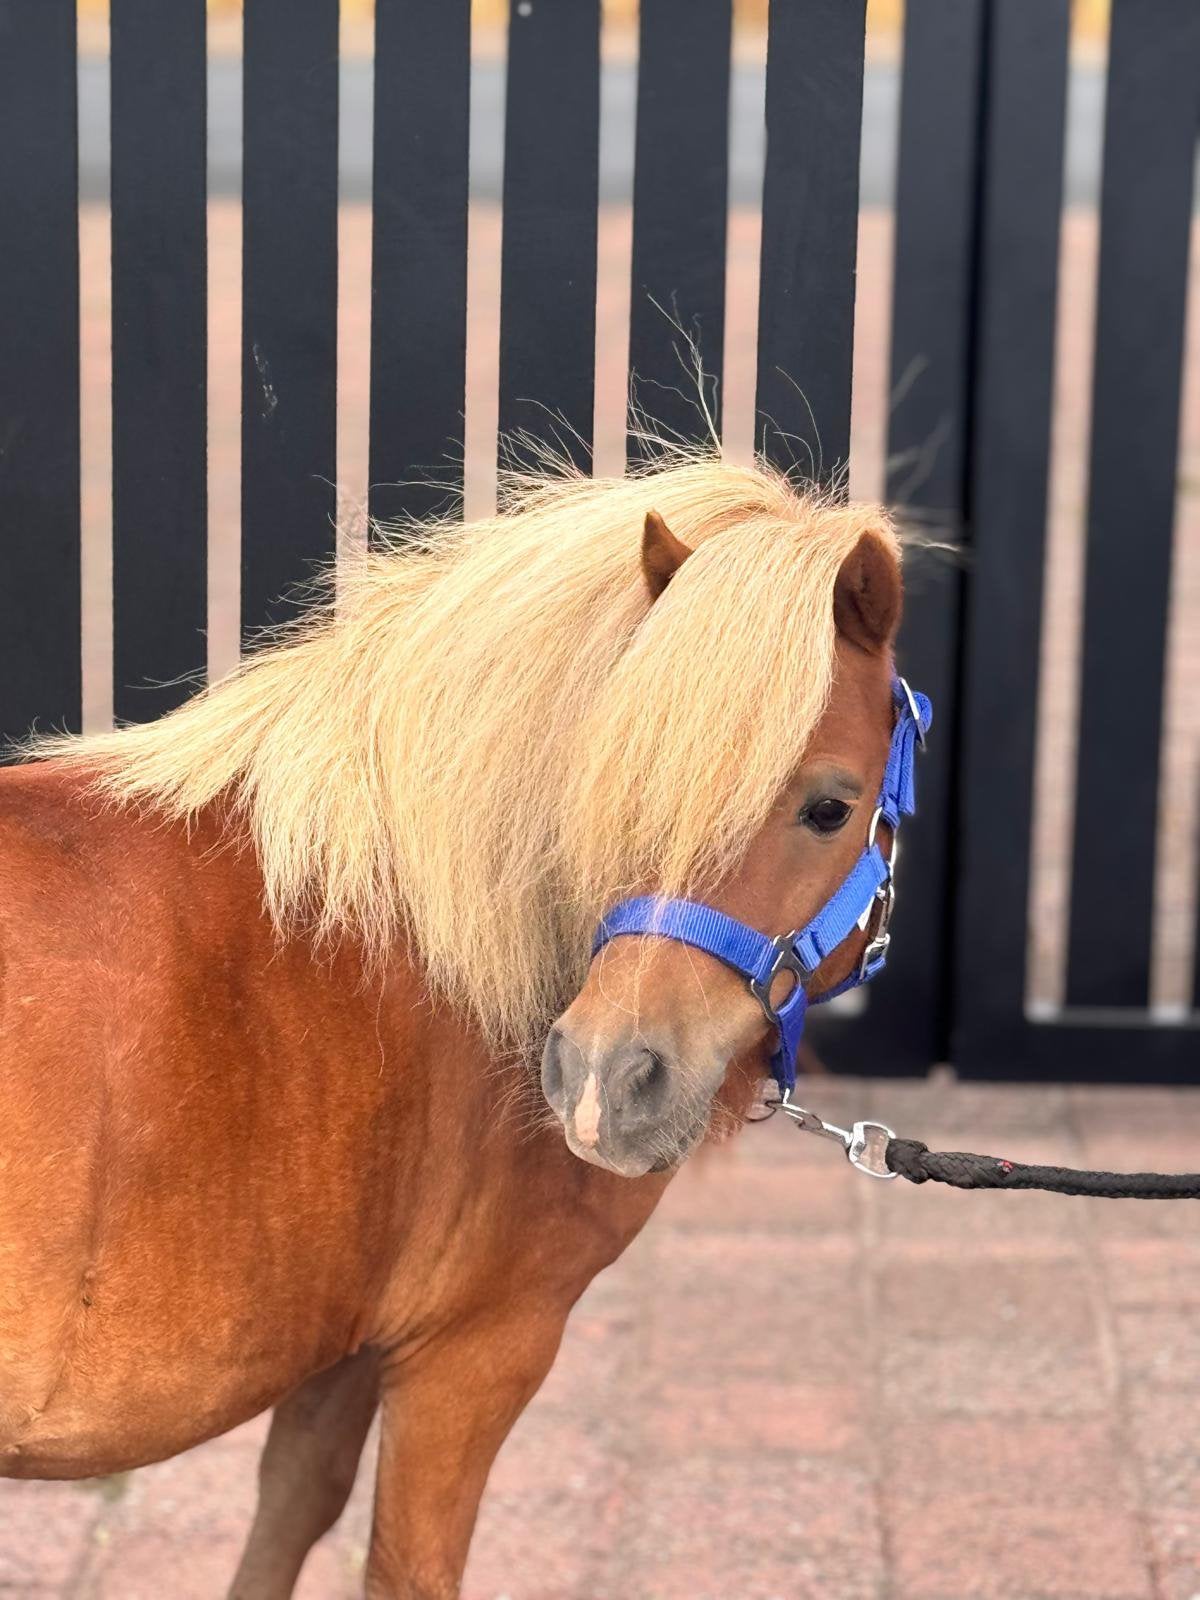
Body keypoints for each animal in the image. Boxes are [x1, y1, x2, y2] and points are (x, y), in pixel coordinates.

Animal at [0, 454, 906, 1598]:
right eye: (610, 781)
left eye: (831, 808)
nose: (605, 1080)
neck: (401, 933)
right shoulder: (472, 1353)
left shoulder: (348, 1349)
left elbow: (290, 1510)